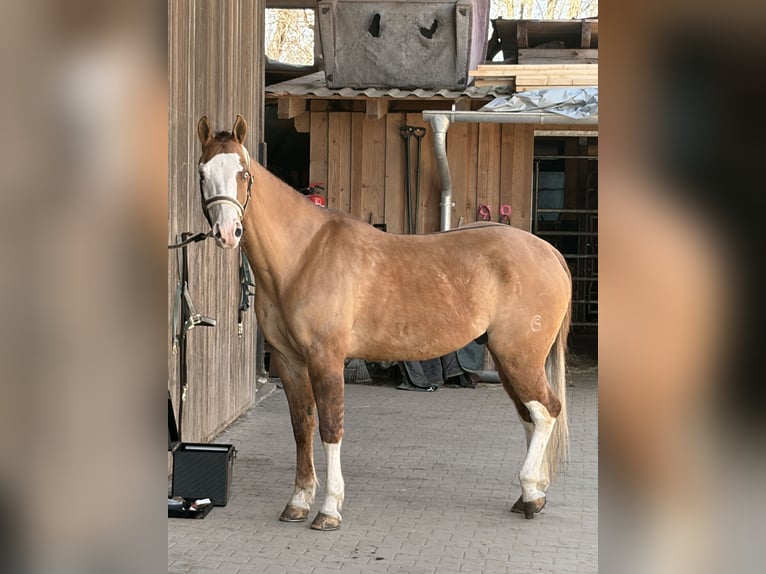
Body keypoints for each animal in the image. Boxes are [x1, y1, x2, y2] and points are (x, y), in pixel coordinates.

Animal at [194, 114, 572, 530]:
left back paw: (532, 494)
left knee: (545, 411)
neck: (303, 256)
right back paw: (530, 495)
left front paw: (329, 509)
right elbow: (301, 427)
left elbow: (331, 428)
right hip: (510, 361)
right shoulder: (289, 362)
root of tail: (548, 252)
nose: (227, 233)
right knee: (530, 416)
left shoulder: (326, 359)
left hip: (519, 357)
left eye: (243, 173)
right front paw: (298, 502)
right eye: (202, 172)